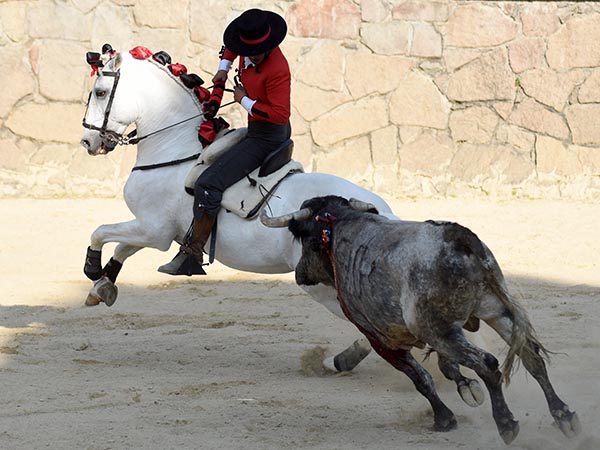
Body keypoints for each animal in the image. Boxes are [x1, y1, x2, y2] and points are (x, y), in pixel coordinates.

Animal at [81, 47, 398, 372]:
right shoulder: (153, 229)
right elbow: (122, 247)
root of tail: (379, 216)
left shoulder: (153, 230)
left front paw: (92, 269)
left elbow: (101, 232)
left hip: (319, 285)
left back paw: (342, 360)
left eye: (100, 92)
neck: (176, 151)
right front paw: (101, 287)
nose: (88, 141)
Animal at [260, 195, 580, 444]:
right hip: (493, 311)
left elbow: (420, 378)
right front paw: (466, 388)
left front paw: (444, 419)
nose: (300, 274)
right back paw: (565, 417)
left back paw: (506, 424)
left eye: (307, 241)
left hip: (441, 330)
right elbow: (446, 368)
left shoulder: (380, 337)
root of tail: (460, 239)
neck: (340, 226)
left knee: (488, 364)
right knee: (531, 356)